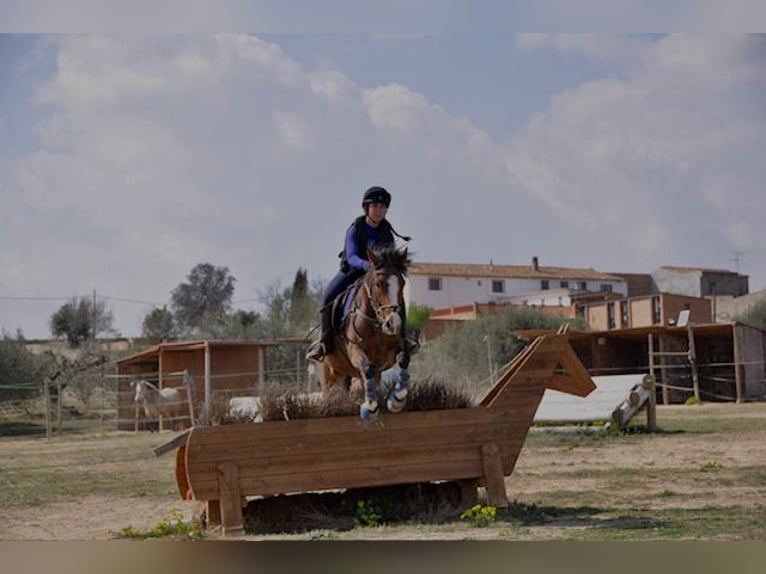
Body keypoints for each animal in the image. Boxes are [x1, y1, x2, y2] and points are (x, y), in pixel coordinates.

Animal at [315, 244, 412, 420]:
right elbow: (366, 368)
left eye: (402, 283)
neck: (376, 323)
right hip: (329, 378)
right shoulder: (355, 350)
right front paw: (370, 405)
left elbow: (403, 360)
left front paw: (397, 400)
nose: (393, 324)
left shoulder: (394, 350)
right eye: (378, 284)